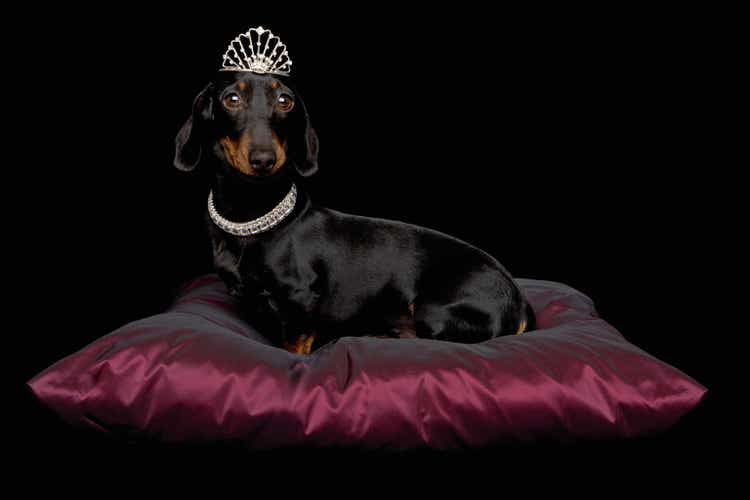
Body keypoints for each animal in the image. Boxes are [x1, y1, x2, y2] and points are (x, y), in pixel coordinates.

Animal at [175, 70, 536, 356]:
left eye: (285, 101)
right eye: (232, 98)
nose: (264, 159)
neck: (254, 217)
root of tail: (519, 301)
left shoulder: (299, 303)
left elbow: (293, 344)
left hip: (435, 310)